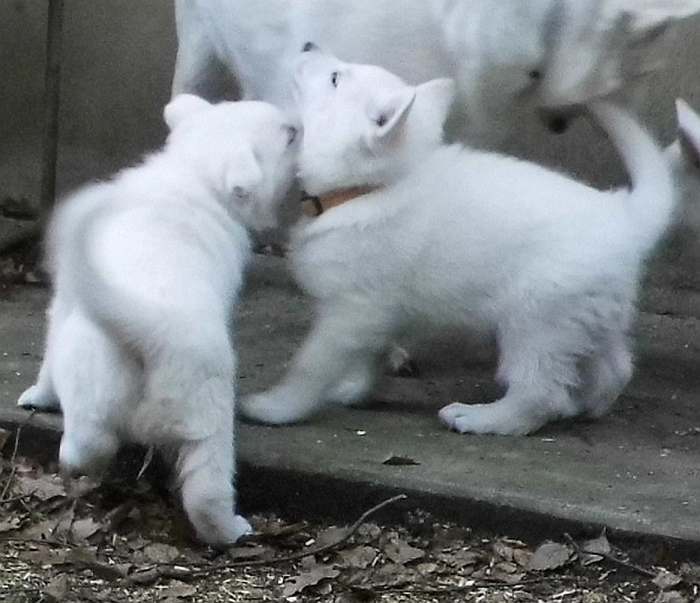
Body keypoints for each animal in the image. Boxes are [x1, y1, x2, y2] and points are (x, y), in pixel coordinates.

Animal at [18, 95, 298, 548]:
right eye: (289, 136)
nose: (300, 122)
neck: (191, 173)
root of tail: (155, 329)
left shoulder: (65, 300)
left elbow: (46, 356)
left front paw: (37, 396)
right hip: (207, 422)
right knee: (205, 492)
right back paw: (231, 531)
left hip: (94, 386)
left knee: (86, 446)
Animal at [242, 49, 680, 436]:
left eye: (335, 79)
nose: (307, 45)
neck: (371, 188)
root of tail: (625, 215)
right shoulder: (379, 314)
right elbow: (371, 356)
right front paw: (353, 389)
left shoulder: (352, 313)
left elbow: (311, 364)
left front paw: (278, 407)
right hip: (589, 316)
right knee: (613, 369)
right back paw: (582, 406)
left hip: (536, 320)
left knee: (540, 391)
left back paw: (484, 418)